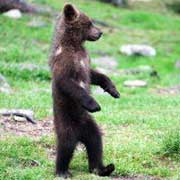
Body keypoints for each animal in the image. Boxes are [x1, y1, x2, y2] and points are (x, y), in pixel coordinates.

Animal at [48, 3, 120, 178]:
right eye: (89, 23)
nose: (100, 32)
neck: (74, 45)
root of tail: (79, 134)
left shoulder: (85, 60)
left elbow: (95, 75)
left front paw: (113, 90)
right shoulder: (65, 62)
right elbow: (68, 83)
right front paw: (94, 104)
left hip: (89, 124)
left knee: (96, 142)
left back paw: (103, 168)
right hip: (65, 122)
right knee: (66, 145)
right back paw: (62, 171)